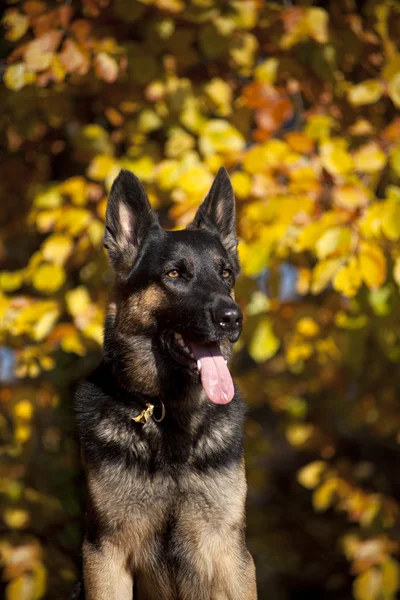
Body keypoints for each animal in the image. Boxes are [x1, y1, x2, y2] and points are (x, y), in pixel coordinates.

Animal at [74, 168, 256, 600]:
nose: (233, 317)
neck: (169, 413)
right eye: (175, 274)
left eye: (226, 274)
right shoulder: (105, 555)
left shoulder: (232, 556)